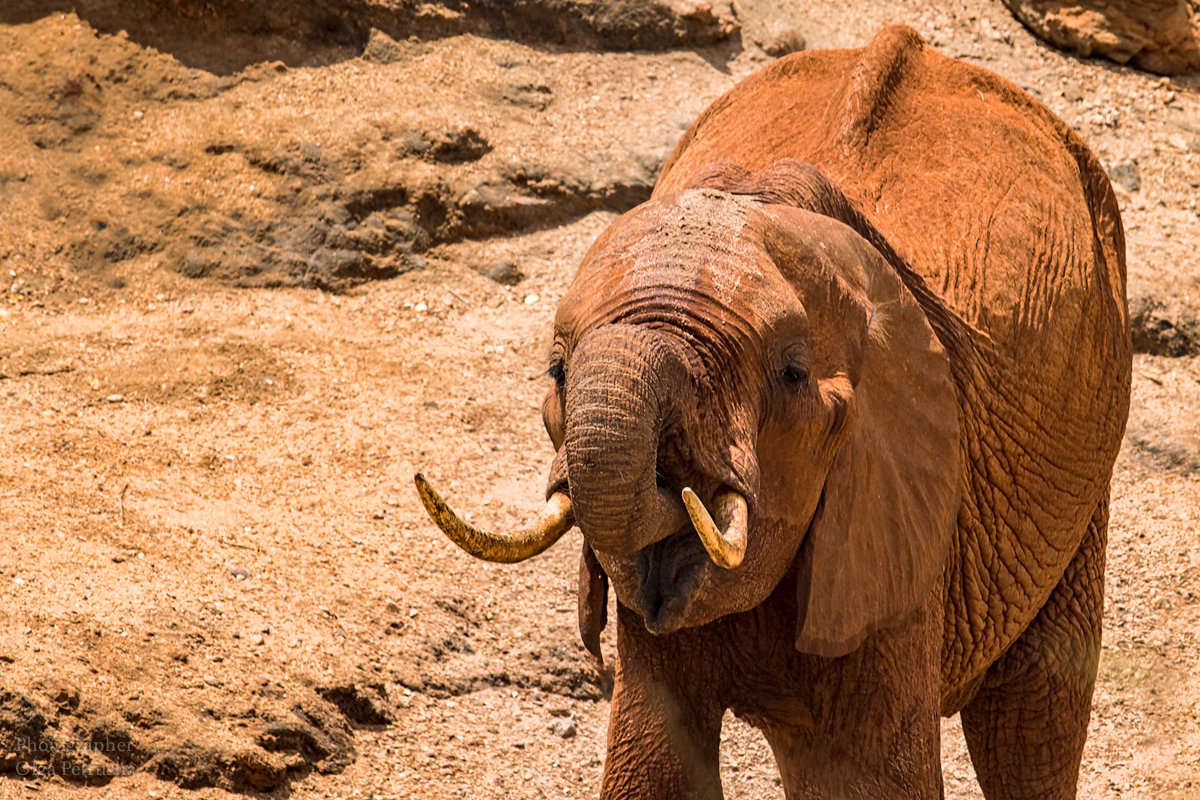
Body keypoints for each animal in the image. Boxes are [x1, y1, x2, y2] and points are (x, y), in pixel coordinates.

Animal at [412, 25, 1123, 800]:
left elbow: (871, 773)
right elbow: (655, 760)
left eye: (791, 375)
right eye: (558, 373)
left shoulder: (905, 500)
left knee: (1031, 714)